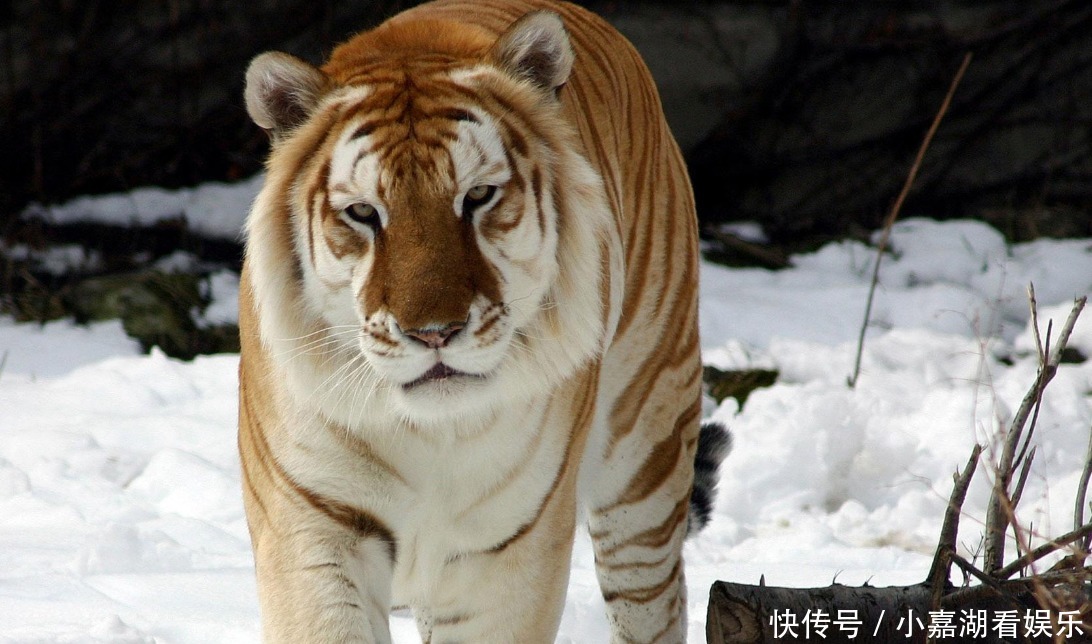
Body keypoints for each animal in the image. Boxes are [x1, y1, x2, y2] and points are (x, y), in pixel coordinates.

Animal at [237, 0, 729, 642]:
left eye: (478, 197)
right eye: (364, 212)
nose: (433, 333)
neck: (429, 433)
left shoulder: (509, 547)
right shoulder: (314, 525)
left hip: (647, 450)